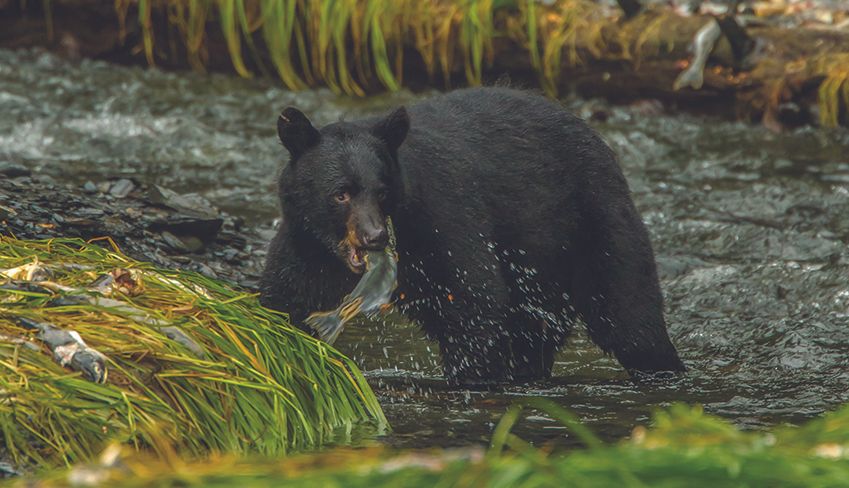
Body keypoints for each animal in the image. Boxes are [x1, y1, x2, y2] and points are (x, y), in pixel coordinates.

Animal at [260, 87, 685, 387]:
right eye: (340, 193)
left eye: (382, 192)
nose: (374, 236)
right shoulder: (305, 242)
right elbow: (288, 299)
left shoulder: (441, 216)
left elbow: (474, 298)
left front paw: (472, 378)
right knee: (537, 333)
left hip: (596, 219)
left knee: (630, 314)